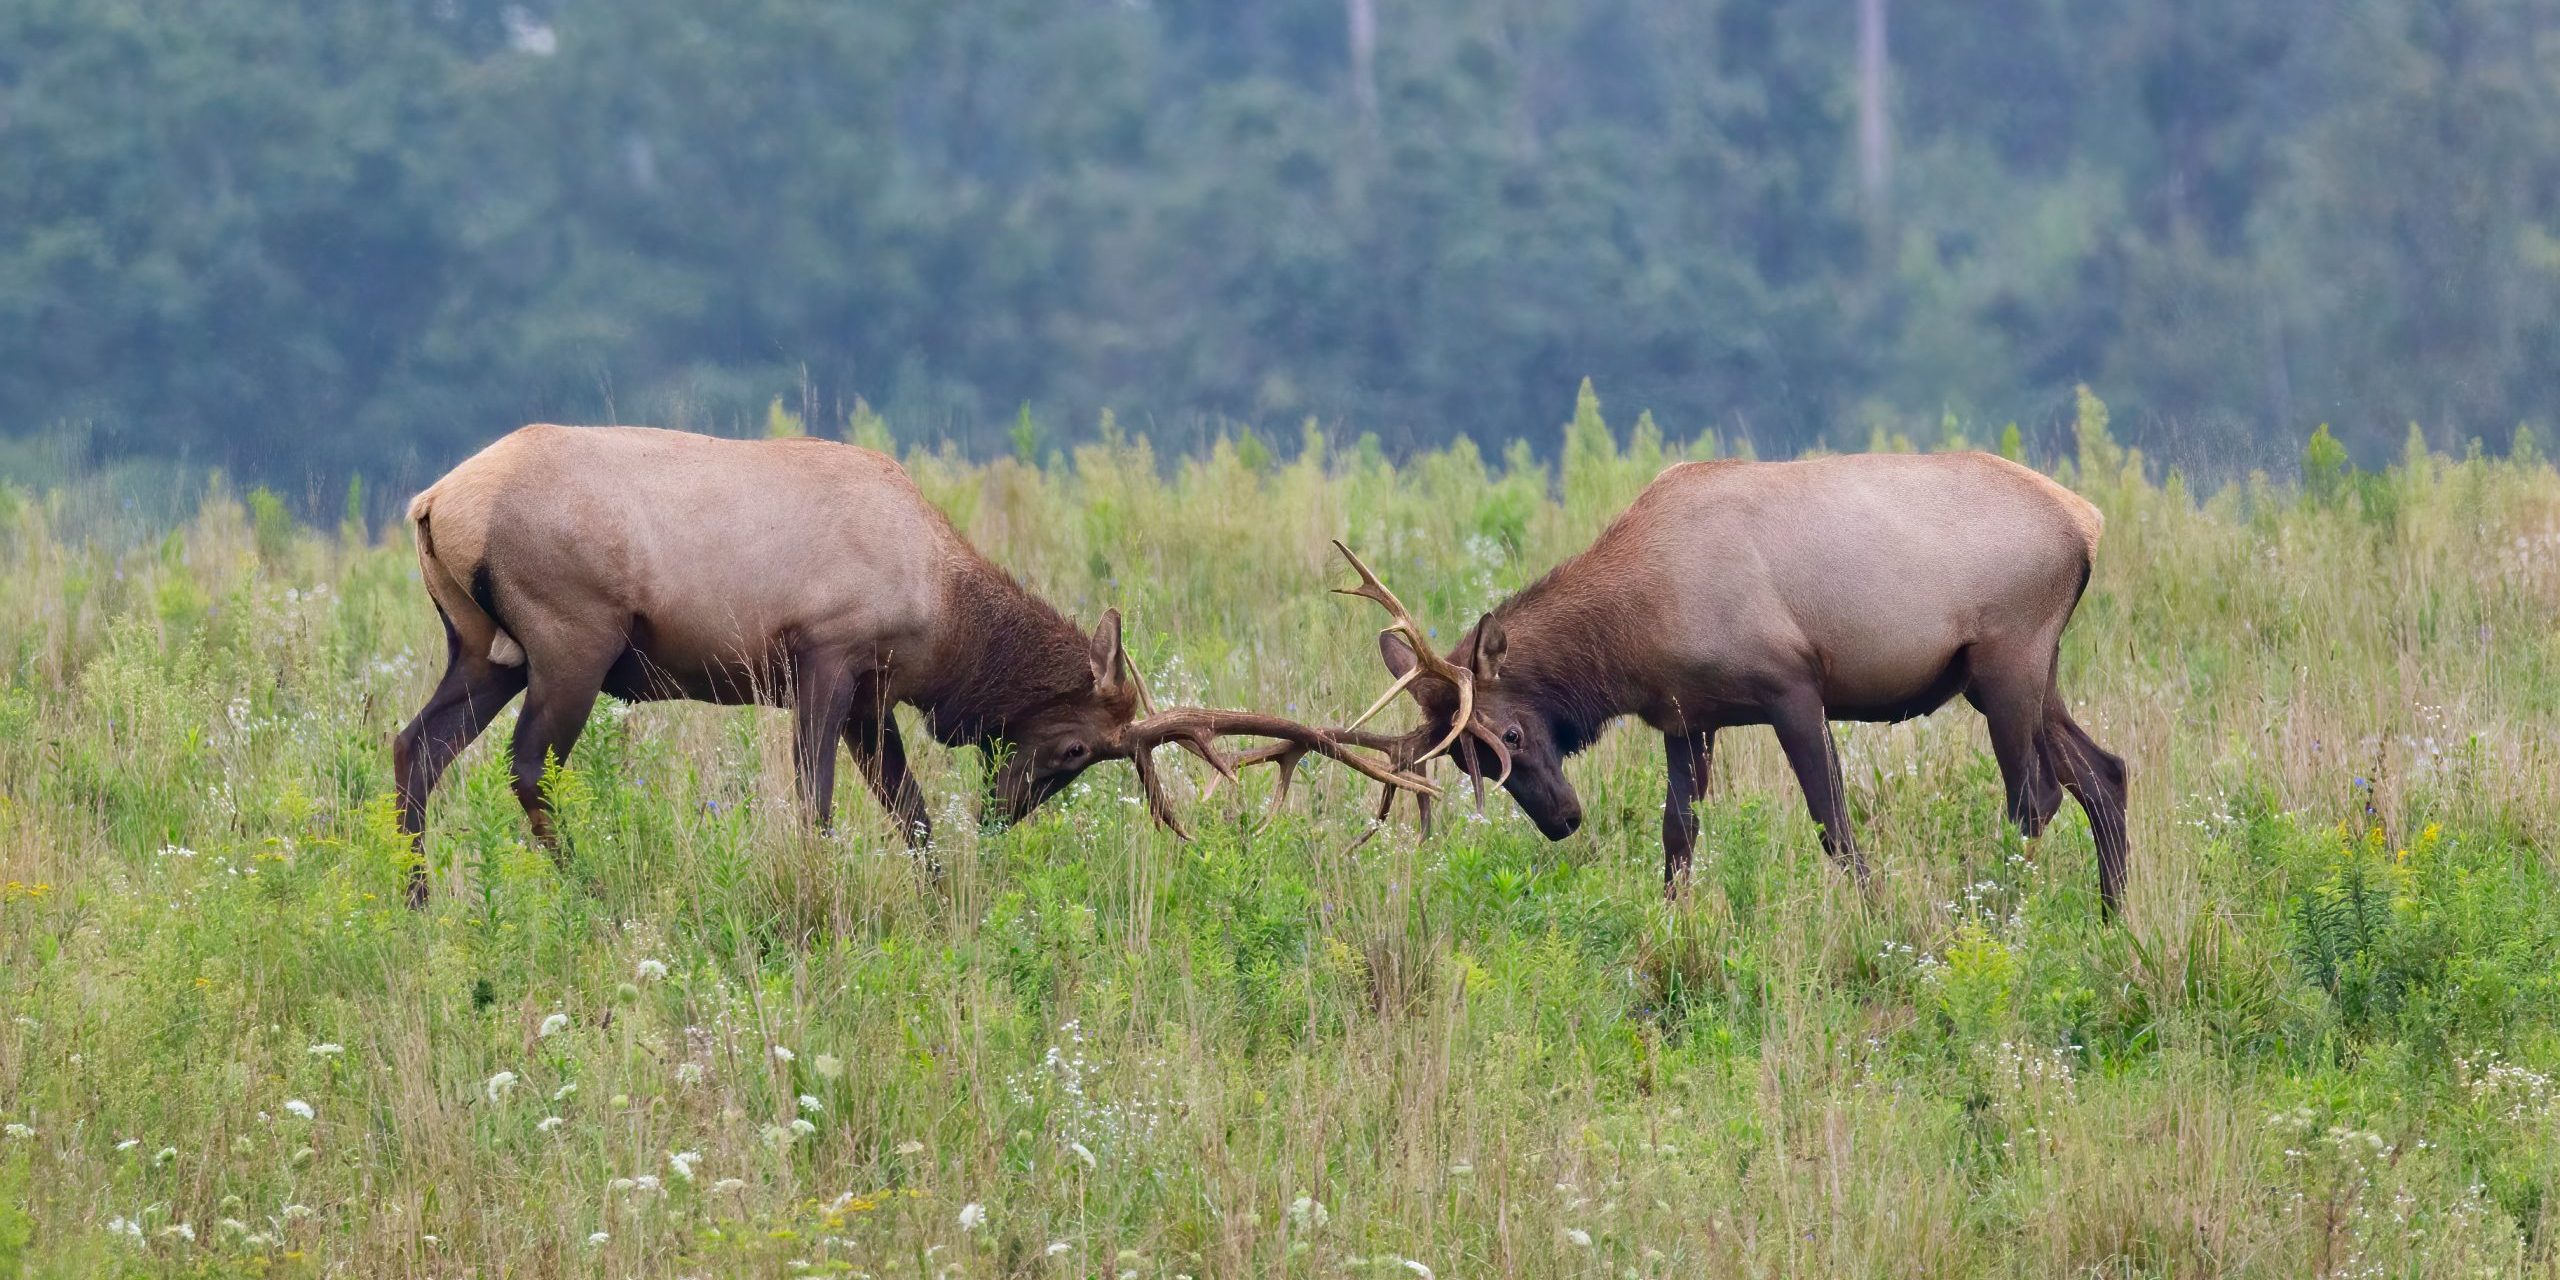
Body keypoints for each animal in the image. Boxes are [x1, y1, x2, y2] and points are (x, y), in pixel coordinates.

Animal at [392, 424, 1430, 905]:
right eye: (1073, 750)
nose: (1003, 814)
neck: (944, 620)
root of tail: (434, 501)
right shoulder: (825, 654)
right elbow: (817, 808)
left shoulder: (870, 696)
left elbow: (911, 813)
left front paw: (943, 895)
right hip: (572, 636)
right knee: (531, 768)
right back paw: (592, 889)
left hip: (485, 649)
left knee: (414, 750)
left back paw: (415, 899)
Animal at [1325, 451, 2133, 915]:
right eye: (1464, 761)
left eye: (1514, 734)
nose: (1563, 819)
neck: (1629, 636)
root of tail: (2089, 523)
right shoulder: (1686, 717)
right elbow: (1677, 832)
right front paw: (1670, 924)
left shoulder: (1792, 687)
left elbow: (1833, 824)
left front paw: (1878, 917)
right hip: (2020, 673)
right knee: (2106, 771)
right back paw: (2112, 917)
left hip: (2008, 659)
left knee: (2036, 797)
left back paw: (2012, 913)